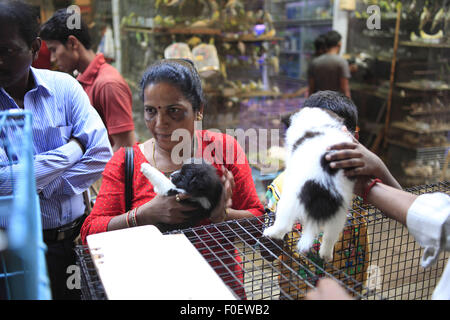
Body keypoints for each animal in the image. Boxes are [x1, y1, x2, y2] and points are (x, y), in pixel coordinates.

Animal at [264, 106, 356, 262]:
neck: (318, 123)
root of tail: (320, 186)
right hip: (339, 214)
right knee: (330, 237)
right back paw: (326, 255)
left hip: (288, 201)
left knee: (284, 225)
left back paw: (270, 232)